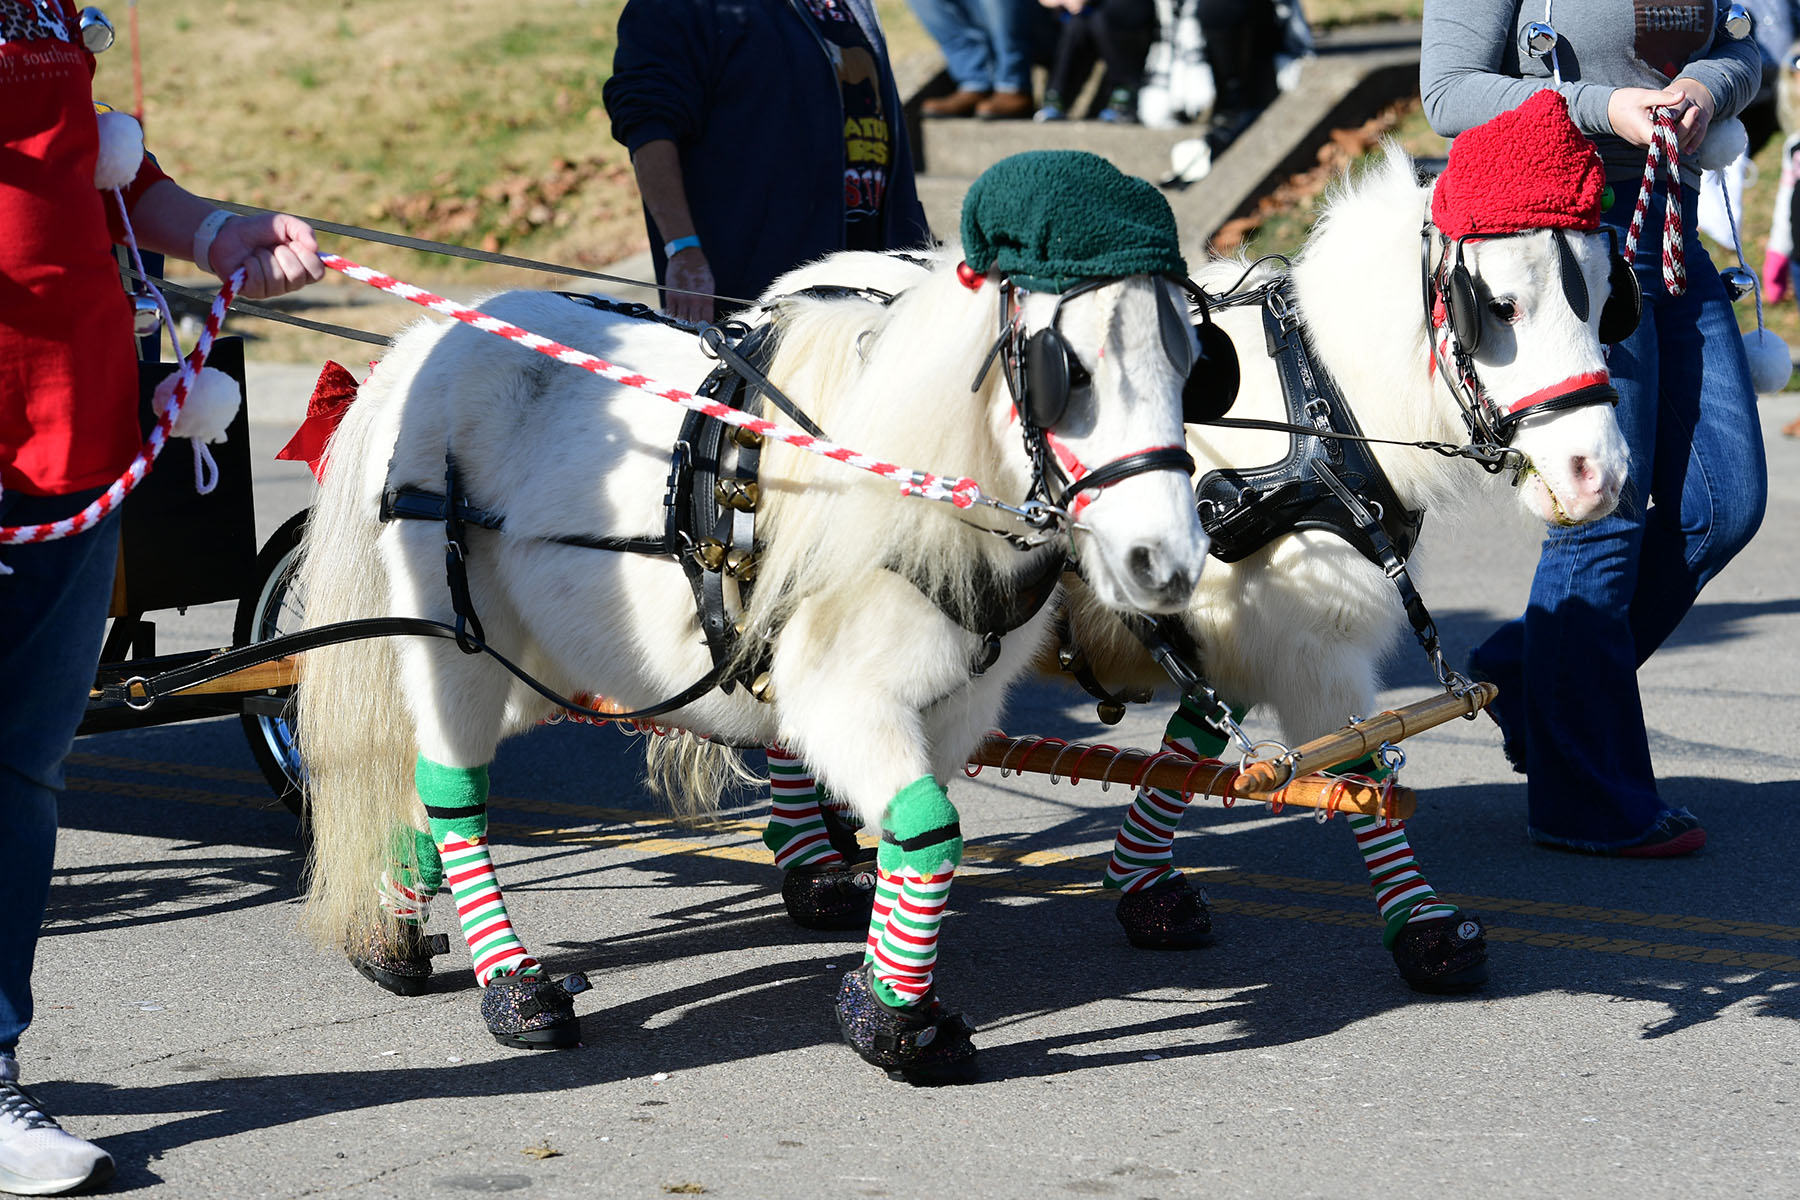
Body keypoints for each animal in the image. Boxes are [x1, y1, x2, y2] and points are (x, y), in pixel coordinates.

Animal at [295, 248, 1209, 1072]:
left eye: (1197, 369)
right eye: (1070, 371)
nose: (1165, 561)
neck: (915, 483)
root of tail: (426, 343)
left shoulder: (953, 709)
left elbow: (915, 836)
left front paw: (884, 996)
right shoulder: (843, 702)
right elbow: (928, 828)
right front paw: (896, 1027)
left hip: (536, 657)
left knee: (428, 763)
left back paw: (388, 926)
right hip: (457, 633)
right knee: (451, 779)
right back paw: (512, 983)